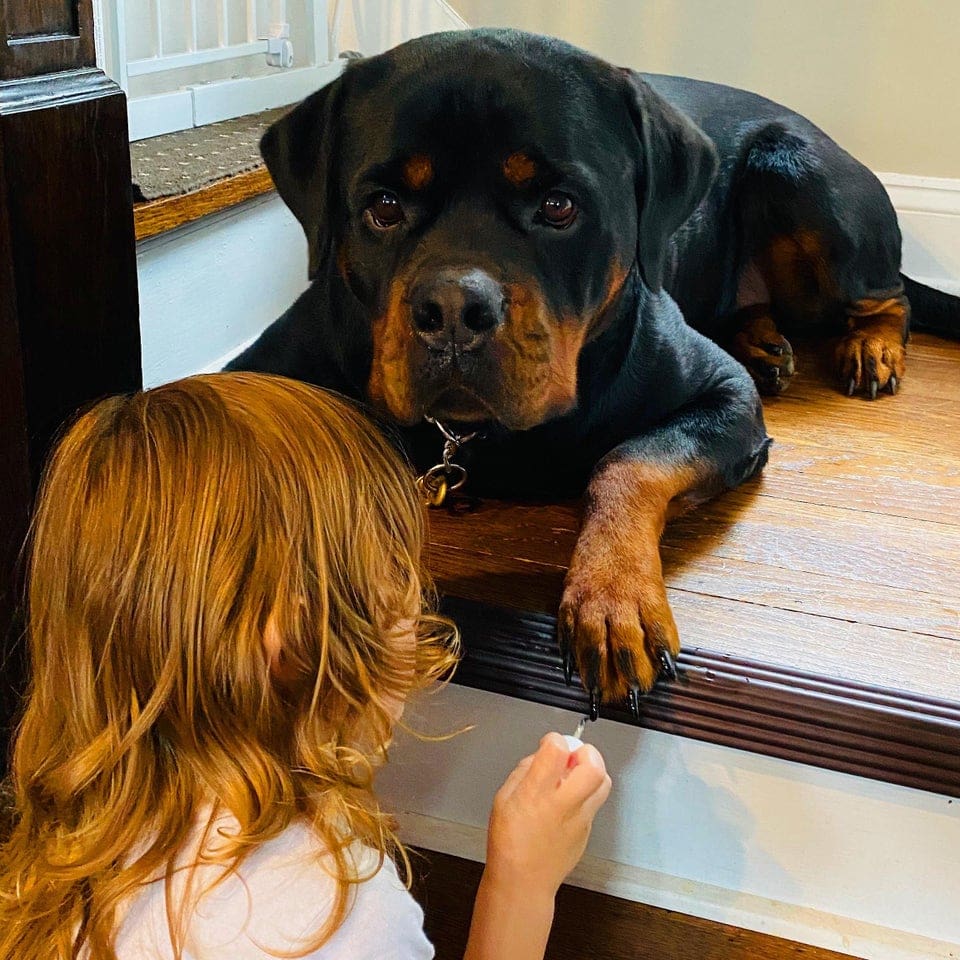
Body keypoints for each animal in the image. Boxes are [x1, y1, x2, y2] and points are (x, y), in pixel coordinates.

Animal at [228, 28, 957, 718]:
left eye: (558, 206)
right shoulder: (262, 369)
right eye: (382, 206)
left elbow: (628, 462)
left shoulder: (721, 397)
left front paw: (611, 601)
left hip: (800, 176)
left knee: (892, 294)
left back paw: (870, 347)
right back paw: (765, 341)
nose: (455, 309)